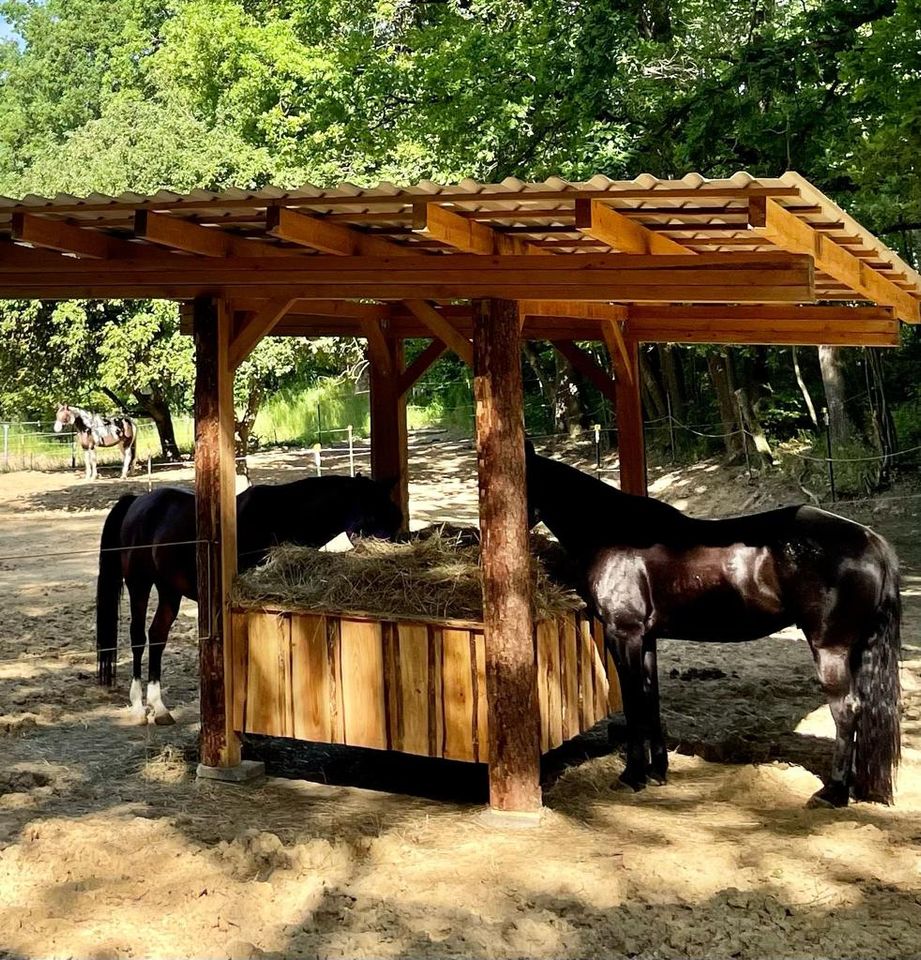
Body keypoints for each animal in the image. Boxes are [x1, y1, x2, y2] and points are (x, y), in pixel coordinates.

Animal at [93, 476, 402, 724]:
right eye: (374, 516)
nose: (393, 550)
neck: (276, 517)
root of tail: (137, 501)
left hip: (170, 590)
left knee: (157, 636)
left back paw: (160, 709)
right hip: (139, 584)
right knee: (137, 637)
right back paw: (138, 706)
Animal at [524, 446, 900, 808]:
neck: (611, 532)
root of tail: (871, 540)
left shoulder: (624, 635)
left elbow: (634, 703)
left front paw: (632, 775)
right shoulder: (647, 639)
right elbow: (650, 699)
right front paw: (657, 771)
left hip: (830, 649)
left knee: (847, 710)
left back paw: (833, 793)